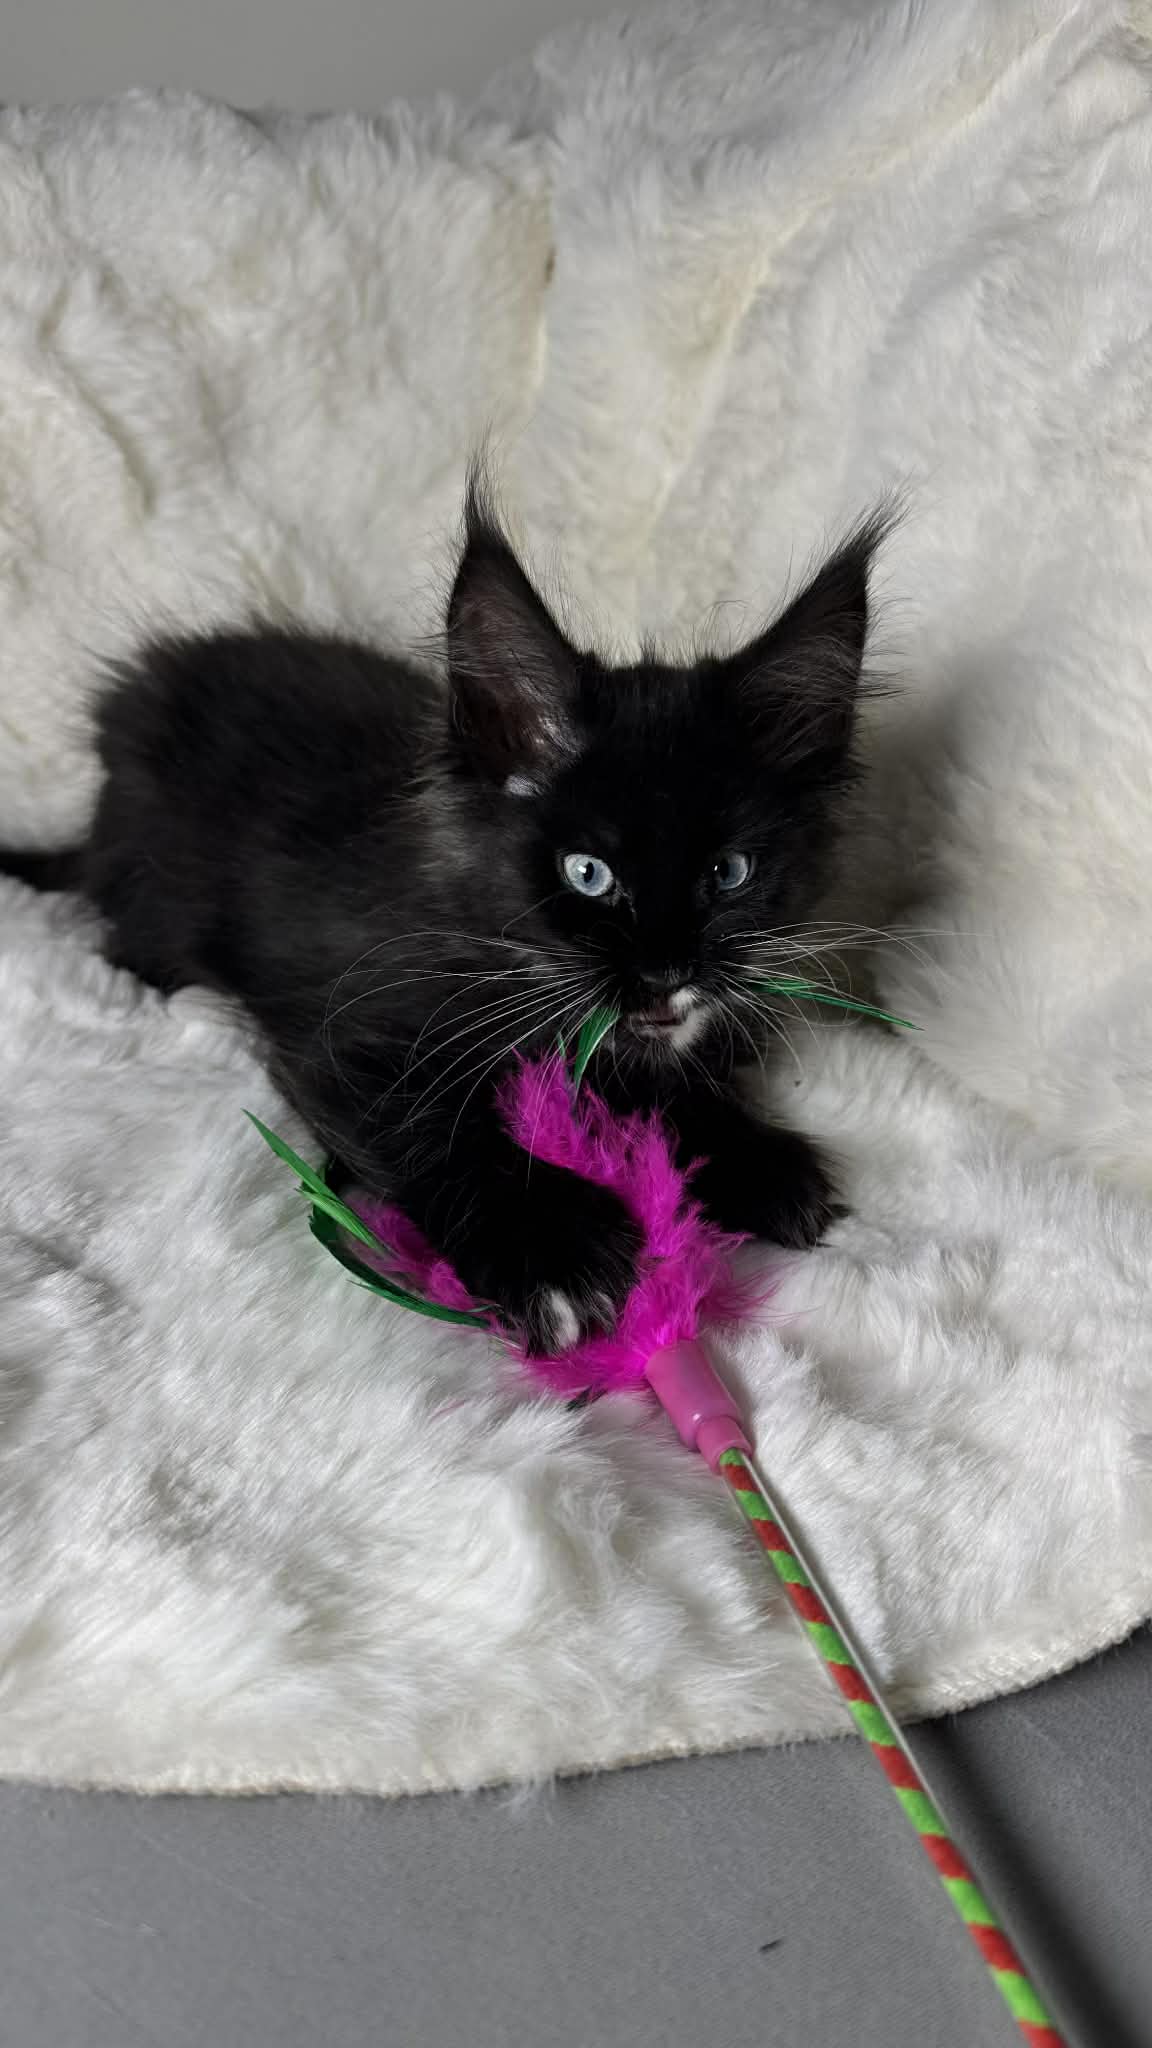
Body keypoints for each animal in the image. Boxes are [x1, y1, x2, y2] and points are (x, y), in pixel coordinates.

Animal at [0, 487, 884, 1353]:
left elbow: (664, 1076)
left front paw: (755, 1161)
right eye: (587, 874)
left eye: (728, 874)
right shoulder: (342, 1034)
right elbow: (431, 1125)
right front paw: (550, 1248)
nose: (668, 970)